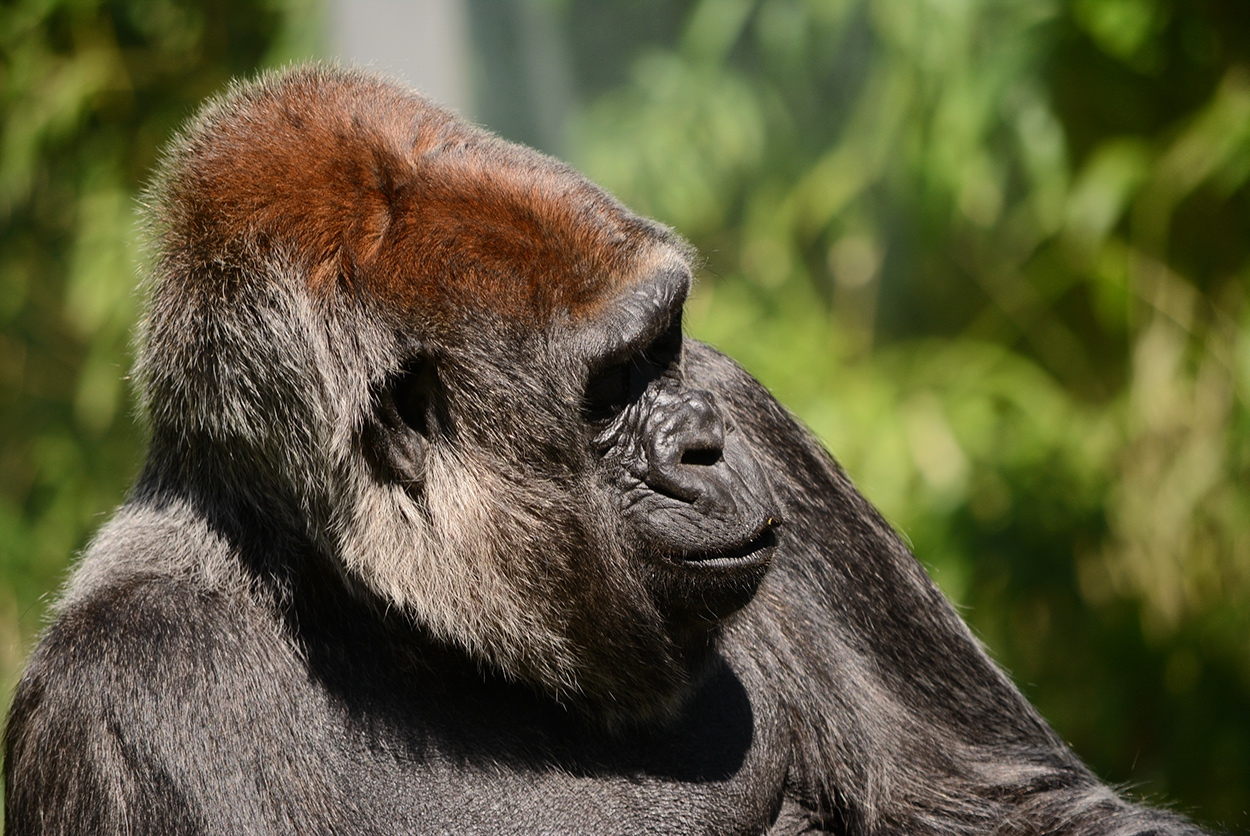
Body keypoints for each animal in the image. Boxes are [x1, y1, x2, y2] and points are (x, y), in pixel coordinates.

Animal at [0, 66, 1210, 834]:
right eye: (611, 386)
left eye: (663, 343)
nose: (707, 446)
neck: (371, 604)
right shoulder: (114, 700)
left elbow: (1028, 809)